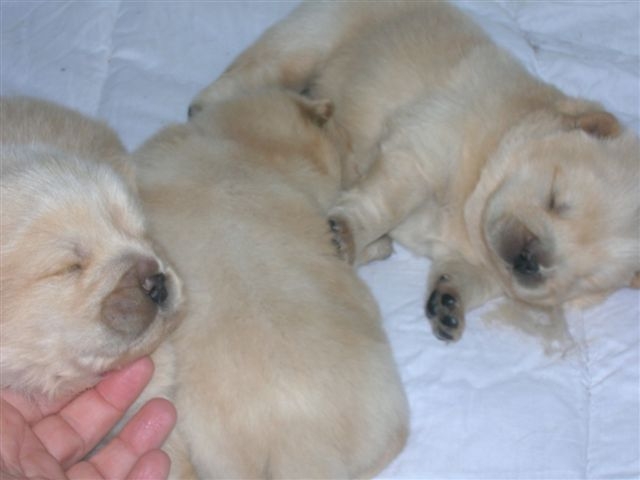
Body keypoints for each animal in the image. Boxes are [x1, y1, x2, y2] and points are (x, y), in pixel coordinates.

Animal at [190, 1, 640, 343]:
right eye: (555, 198)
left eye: (583, 277)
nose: (531, 259)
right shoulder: (421, 149)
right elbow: (384, 201)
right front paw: (348, 234)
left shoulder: (481, 261)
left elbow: (472, 278)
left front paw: (449, 304)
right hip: (312, 37)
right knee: (255, 71)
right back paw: (211, 106)